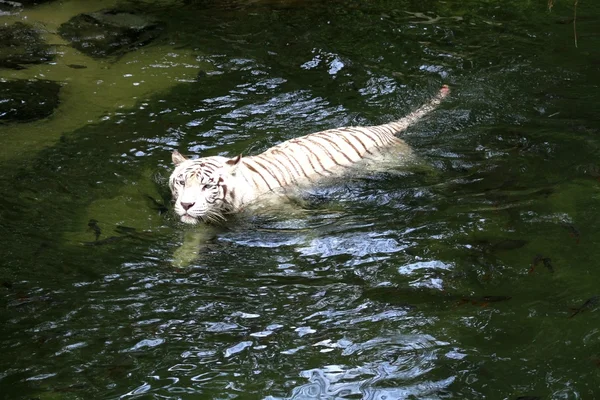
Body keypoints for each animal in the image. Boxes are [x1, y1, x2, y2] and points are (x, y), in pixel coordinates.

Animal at [169, 85, 450, 223]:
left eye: (207, 186)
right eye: (180, 183)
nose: (186, 205)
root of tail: (378, 127)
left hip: (397, 160)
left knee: (423, 165)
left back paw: (438, 180)